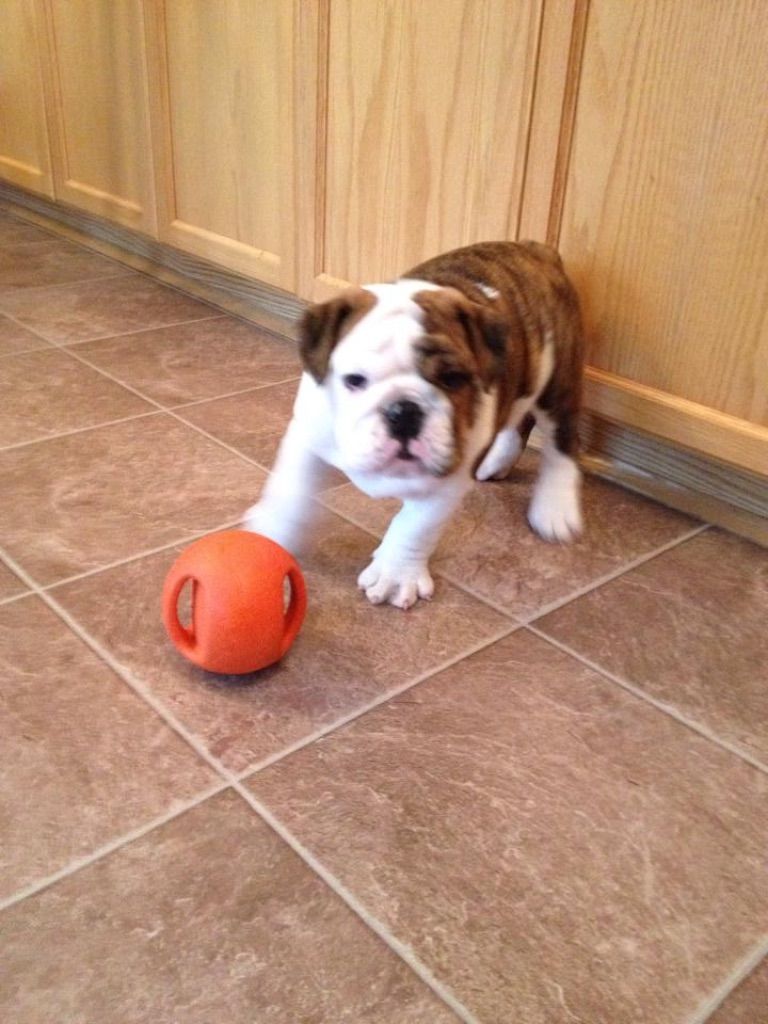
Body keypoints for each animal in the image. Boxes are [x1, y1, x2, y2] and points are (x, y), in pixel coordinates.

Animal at [245, 240, 584, 610]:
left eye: (453, 378)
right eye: (354, 380)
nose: (403, 411)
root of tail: (536, 249)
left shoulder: (446, 478)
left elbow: (415, 526)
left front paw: (395, 575)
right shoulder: (308, 435)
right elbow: (291, 487)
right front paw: (273, 530)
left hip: (558, 380)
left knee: (561, 442)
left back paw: (554, 509)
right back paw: (497, 461)